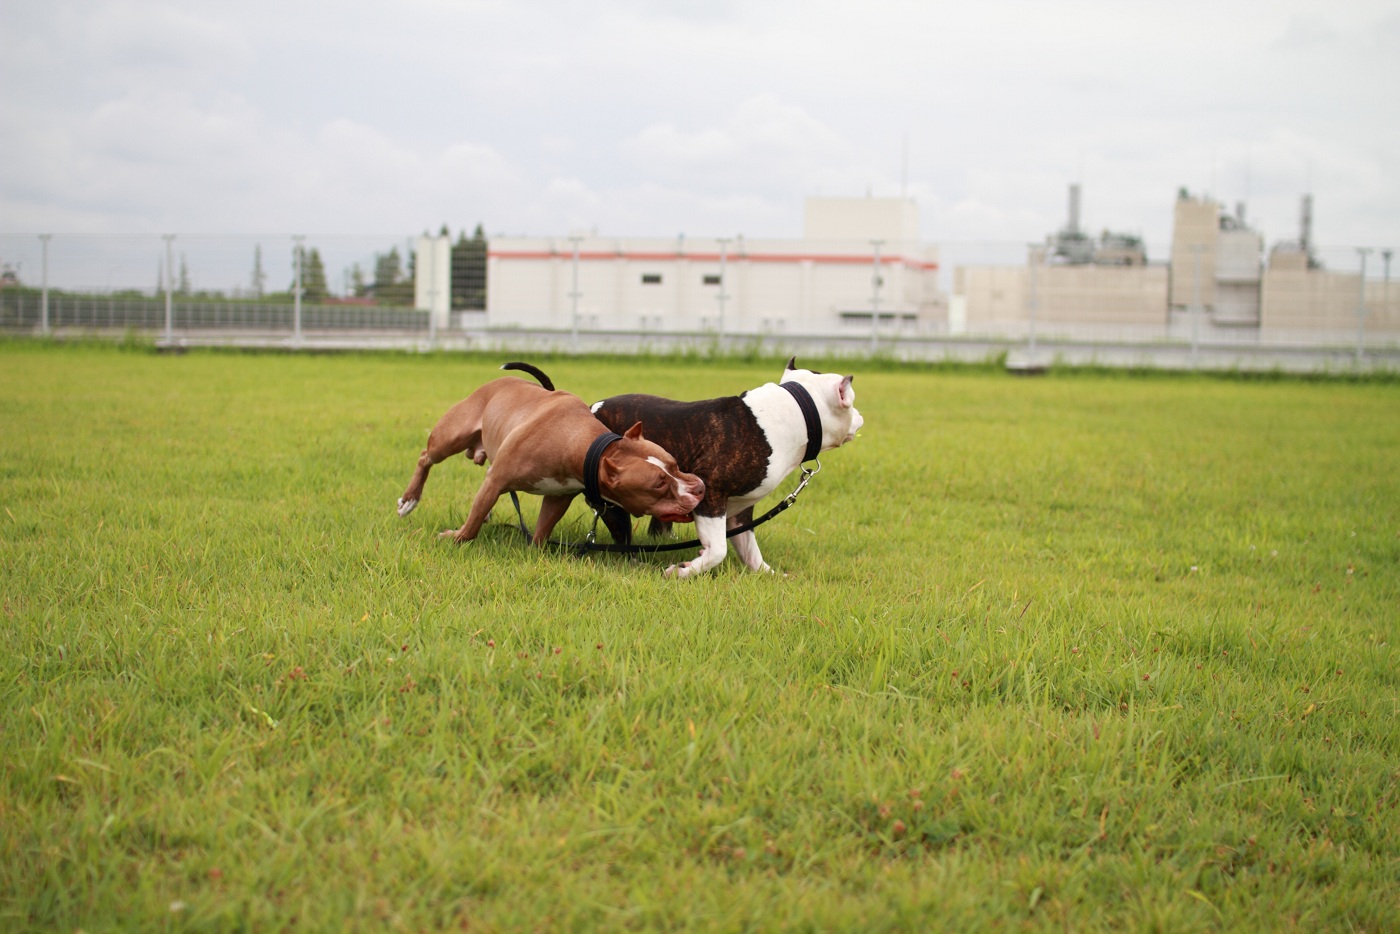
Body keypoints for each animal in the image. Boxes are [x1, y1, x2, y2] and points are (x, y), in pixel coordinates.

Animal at [396, 364, 704, 546]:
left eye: (675, 464)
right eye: (659, 485)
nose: (699, 489)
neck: (583, 443)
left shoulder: (559, 496)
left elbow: (542, 530)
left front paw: (534, 550)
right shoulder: (497, 480)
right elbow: (471, 525)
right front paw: (456, 537)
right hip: (450, 436)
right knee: (426, 456)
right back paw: (409, 499)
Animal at [585, 357, 863, 577]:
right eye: (852, 401)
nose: (860, 416)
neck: (799, 409)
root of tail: (590, 407)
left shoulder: (741, 510)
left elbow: (750, 549)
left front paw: (768, 575)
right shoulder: (710, 492)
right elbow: (718, 550)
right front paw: (684, 571)